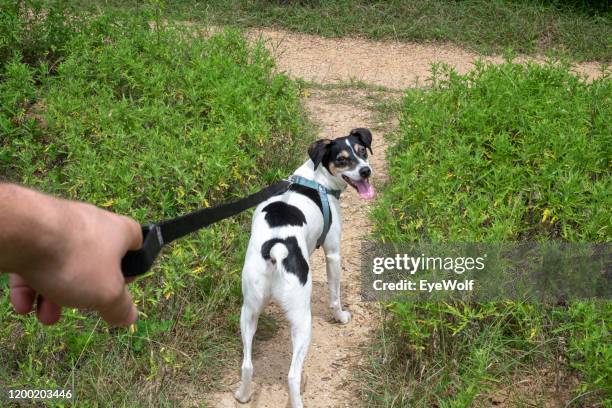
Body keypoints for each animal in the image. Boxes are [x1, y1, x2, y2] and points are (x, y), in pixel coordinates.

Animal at [234, 128, 376, 408]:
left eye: (362, 151)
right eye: (342, 159)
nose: (366, 171)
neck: (316, 179)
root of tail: (277, 247)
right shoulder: (333, 254)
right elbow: (335, 296)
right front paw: (340, 317)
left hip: (249, 310)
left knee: (247, 365)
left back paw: (243, 396)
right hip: (302, 319)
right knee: (292, 376)